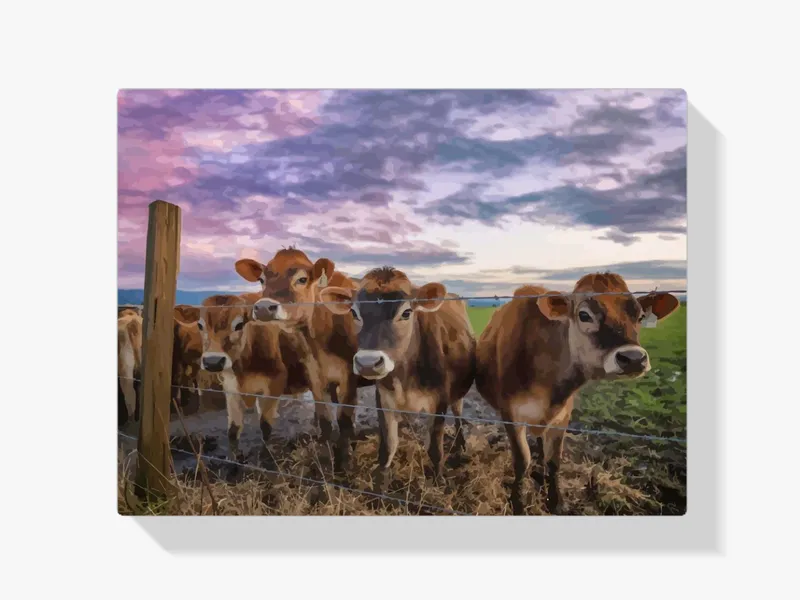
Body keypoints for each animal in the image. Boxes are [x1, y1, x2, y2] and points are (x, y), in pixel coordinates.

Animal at [193, 292, 326, 461]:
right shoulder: (231, 388)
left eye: (239, 325)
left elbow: (265, 425)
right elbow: (233, 429)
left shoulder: (275, 383)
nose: (213, 361)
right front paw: (234, 458)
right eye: (200, 325)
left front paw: (264, 455)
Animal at [235, 249, 368, 471]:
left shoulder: (348, 377)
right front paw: (325, 461)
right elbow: (325, 422)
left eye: (302, 279)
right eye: (261, 279)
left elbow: (344, 422)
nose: (263, 308)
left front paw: (343, 465)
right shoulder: (314, 375)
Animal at [319, 267, 475, 486]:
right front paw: (381, 486)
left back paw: (461, 444)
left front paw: (438, 481)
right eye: (354, 313)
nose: (368, 362)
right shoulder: (384, 399)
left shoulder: (439, 401)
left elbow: (435, 449)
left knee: (459, 414)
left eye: (406, 312)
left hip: (458, 392)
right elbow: (387, 448)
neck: (405, 377)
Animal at [474, 273, 680, 514]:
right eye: (584, 315)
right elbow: (521, 461)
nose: (633, 358)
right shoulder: (511, 415)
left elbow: (554, 460)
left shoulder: (563, 415)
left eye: (639, 316)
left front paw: (555, 501)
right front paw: (518, 503)